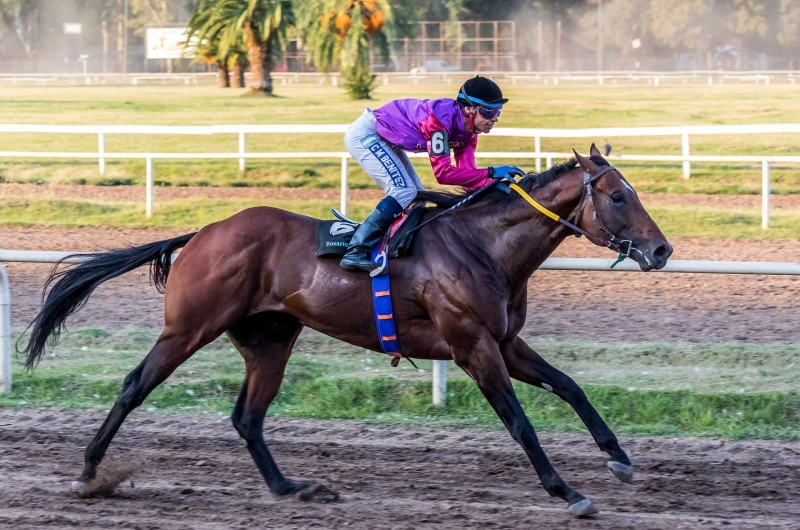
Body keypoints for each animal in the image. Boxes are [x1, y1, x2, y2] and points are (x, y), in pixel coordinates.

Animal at [23, 144, 668, 516]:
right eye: (617, 196)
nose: (661, 250)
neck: (483, 245)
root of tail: (204, 231)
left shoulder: (505, 342)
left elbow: (570, 386)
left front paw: (618, 458)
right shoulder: (473, 346)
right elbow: (519, 422)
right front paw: (568, 492)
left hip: (271, 338)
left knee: (247, 417)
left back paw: (292, 489)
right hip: (189, 327)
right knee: (135, 386)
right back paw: (88, 474)